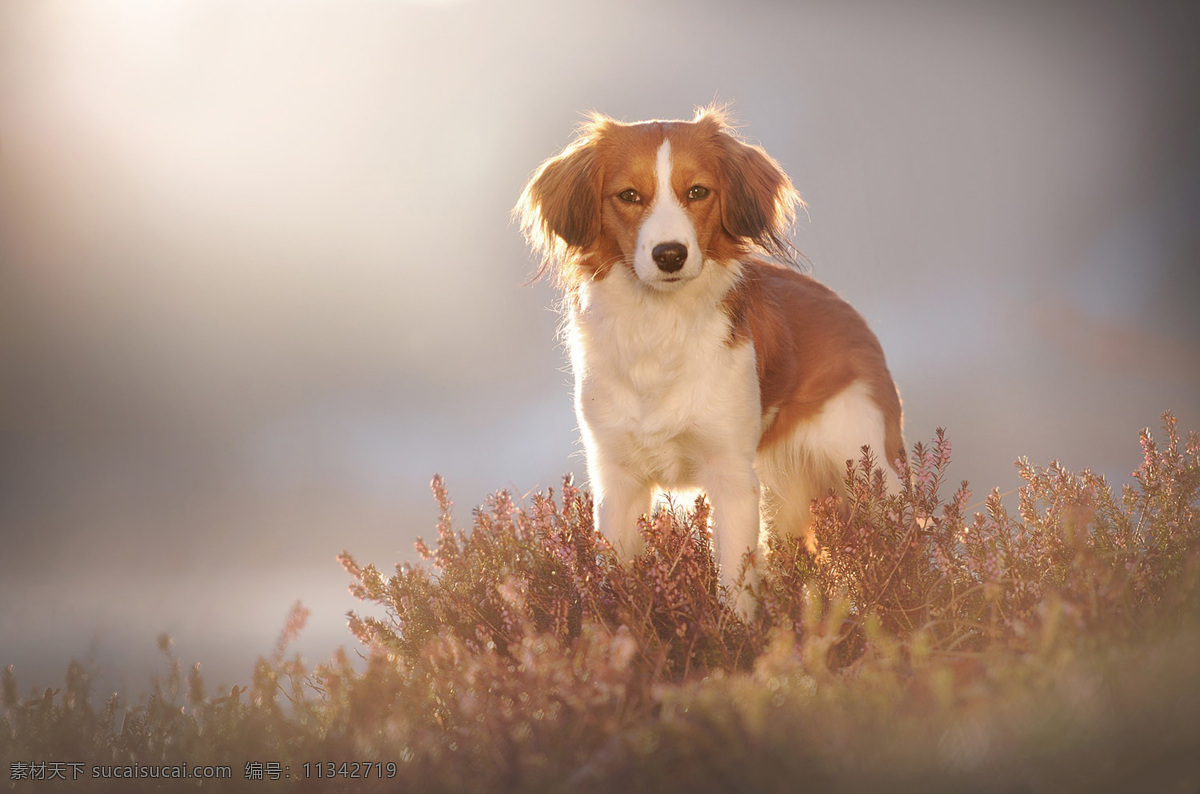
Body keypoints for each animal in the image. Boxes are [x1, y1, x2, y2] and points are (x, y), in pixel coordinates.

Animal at [516, 104, 902, 614]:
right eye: (629, 196)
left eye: (697, 192)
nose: (670, 255)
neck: (658, 328)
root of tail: (852, 315)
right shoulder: (617, 481)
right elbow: (616, 584)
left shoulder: (732, 478)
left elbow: (735, 588)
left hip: (866, 468)